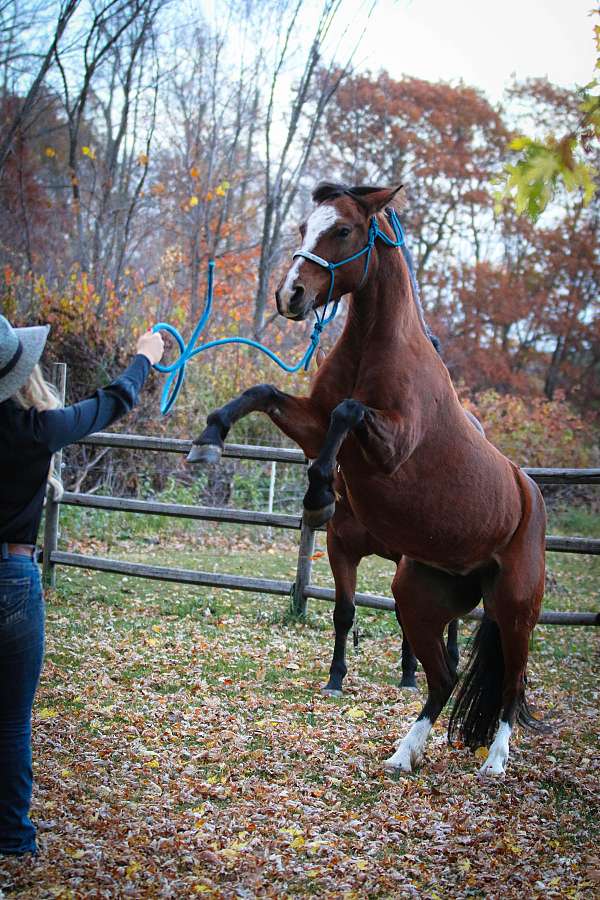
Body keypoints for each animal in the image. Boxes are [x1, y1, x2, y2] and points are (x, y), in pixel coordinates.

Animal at [190, 181, 548, 772]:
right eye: (305, 226)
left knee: (511, 684)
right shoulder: (311, 424)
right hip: (419, 595)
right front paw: (209, 438)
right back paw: (405, 753)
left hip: (515, 609)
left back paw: (494, 761)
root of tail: (528, 490)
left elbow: (349, 412)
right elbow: (264, 393)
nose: (291, 295)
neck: (376, 347)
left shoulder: (390, 446)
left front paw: (318, 494)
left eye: (343, 230)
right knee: (444, 678)